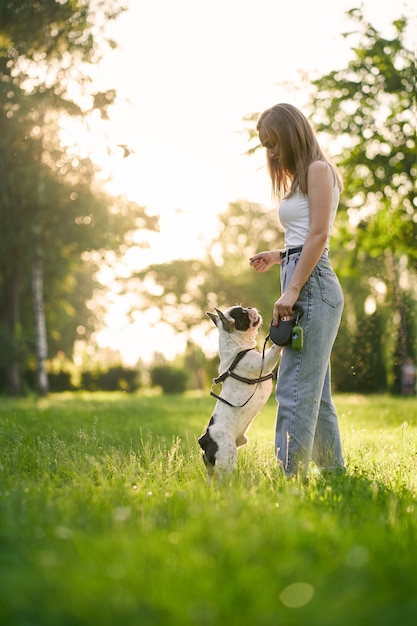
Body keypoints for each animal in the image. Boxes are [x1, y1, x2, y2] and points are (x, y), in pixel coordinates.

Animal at [198, 304, 280, 480]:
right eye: (243, 313)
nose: (250, 307)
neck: (238, 348)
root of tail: (205, 440)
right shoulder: (265, 362)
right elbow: (275, 348)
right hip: (227, 455)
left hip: (211, 468)